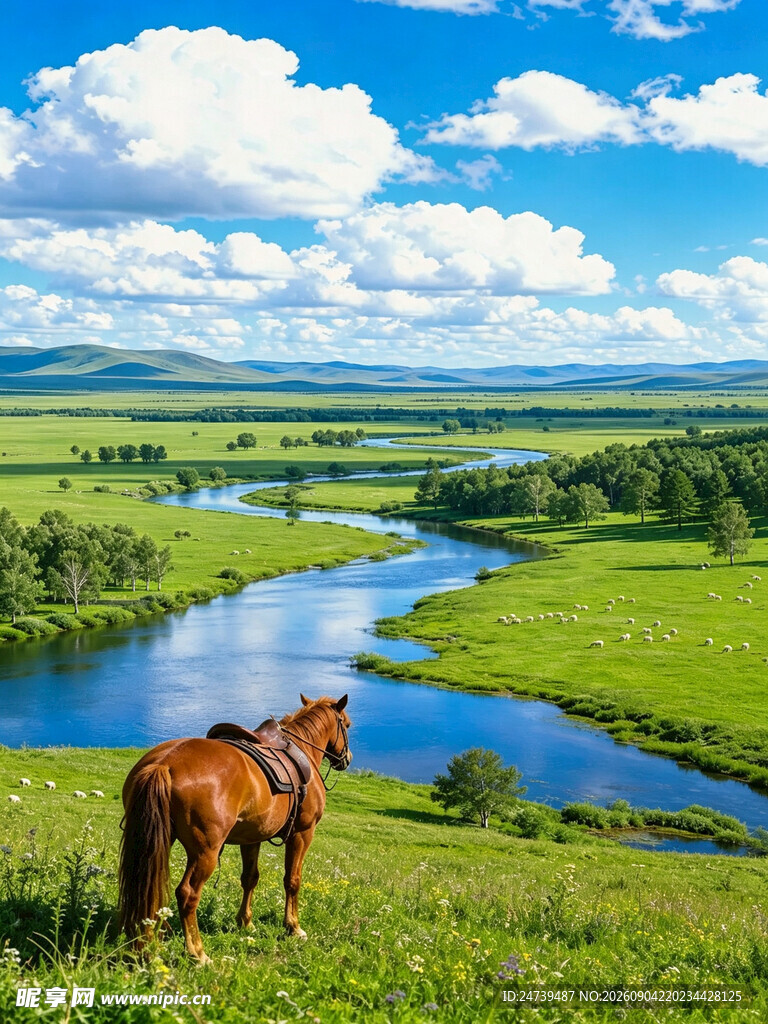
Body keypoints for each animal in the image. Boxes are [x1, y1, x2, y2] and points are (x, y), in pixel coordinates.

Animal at [118, 694, 351, 963]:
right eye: (346, 724)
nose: (347, 758)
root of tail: (164, 763)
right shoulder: (302, 833)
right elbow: (292, 880)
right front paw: (293, 927)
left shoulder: (252, 837)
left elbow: (250, 878)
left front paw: (245, 923)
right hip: (205, 852)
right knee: (187, 894)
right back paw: (197, 952)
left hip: (153, 843)